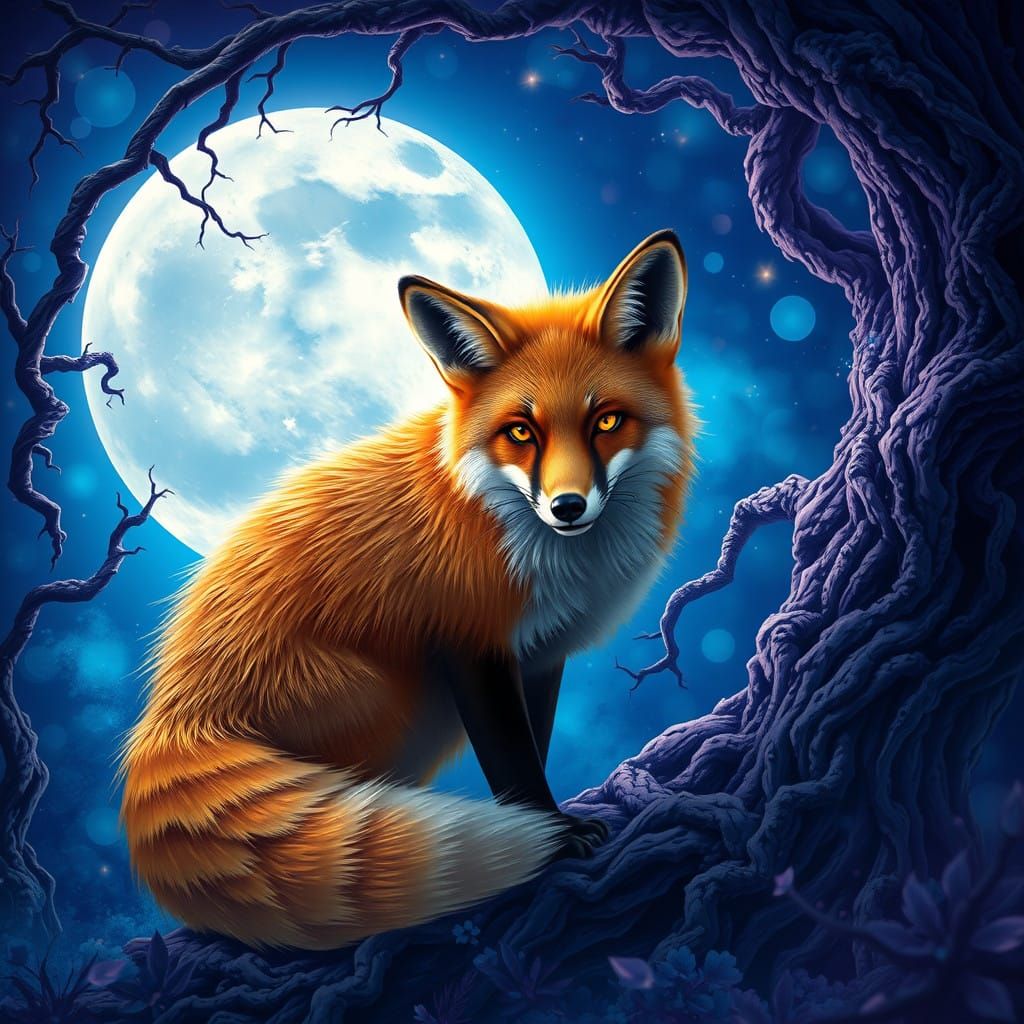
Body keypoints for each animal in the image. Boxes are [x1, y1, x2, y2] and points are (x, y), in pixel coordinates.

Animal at [119, 229, 697, 950]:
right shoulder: (469, 643)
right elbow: (512, 760)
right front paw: (552, 836)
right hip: (386, 695)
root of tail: (168, 713)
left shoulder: (540, 653)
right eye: (521, 431)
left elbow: (532, 743)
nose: (567, 506)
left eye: (607, 422)